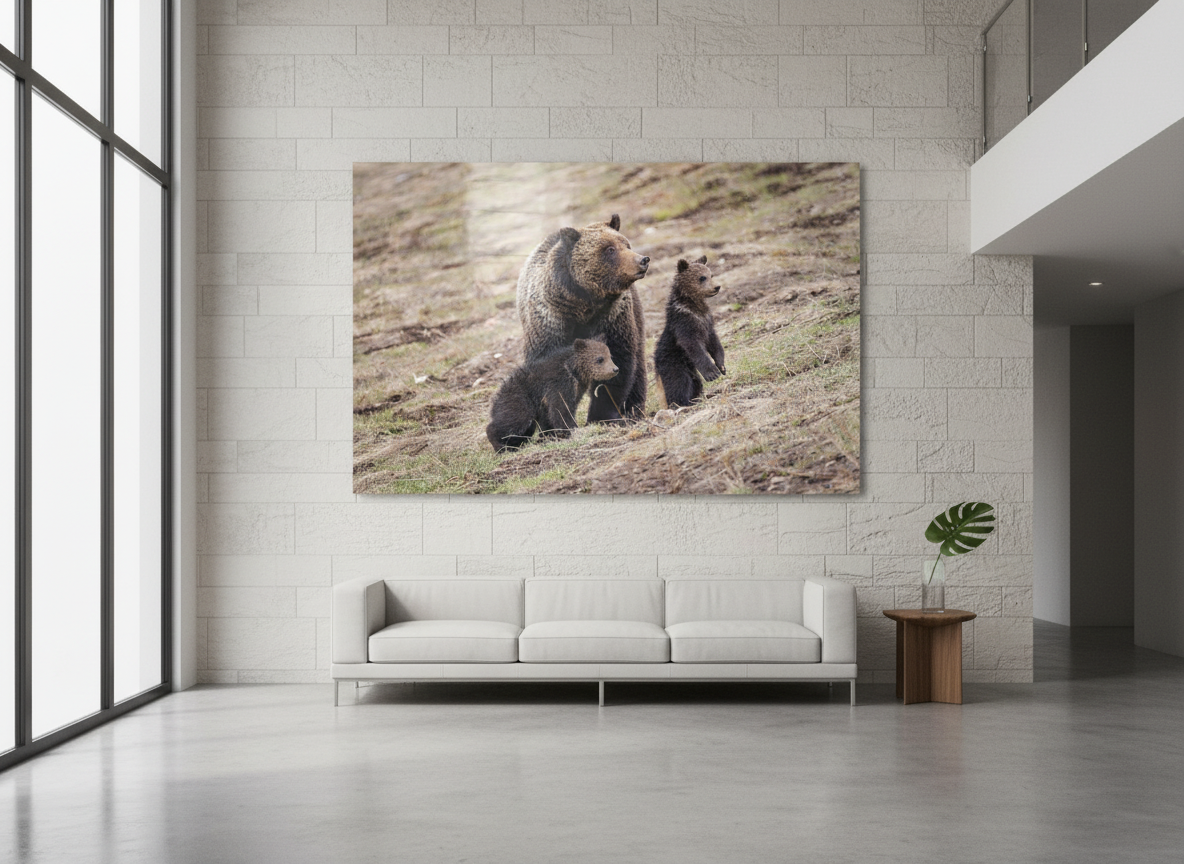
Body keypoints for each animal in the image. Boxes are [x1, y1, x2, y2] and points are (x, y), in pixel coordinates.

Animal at [486, 336, 620, 452]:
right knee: (513, 421)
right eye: (600, 359)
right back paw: (501, 446)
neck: (574, 371)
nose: (615, 369)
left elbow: (551, 416)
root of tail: (496, 398)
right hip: (519, 401)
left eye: (610, 356)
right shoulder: (558, 384)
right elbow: (560, 409)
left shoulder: (574, 391)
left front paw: (550, 435)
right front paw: (572, 429)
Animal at [516, 214, 649, 423]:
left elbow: (618, 362)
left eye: (625, 244)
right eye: (609, 249)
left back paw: (634, 411)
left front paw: (600, 415)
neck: (582, 304)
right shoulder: (550, 323)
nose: (643, 260)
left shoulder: (612, 318)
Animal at [653, 256, 725, 409]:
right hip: (673, 363)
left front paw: (721, 366)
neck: (694, 306)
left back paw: (698, 398)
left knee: (695, 383)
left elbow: (714, 342)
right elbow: (693, 345)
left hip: (690, 370)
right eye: (702, 277)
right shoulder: (684, 323)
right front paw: (712, 373)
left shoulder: (707, 321)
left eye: (711, 274)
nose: (717, 287)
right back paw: (682, 404)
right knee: (679, 384)